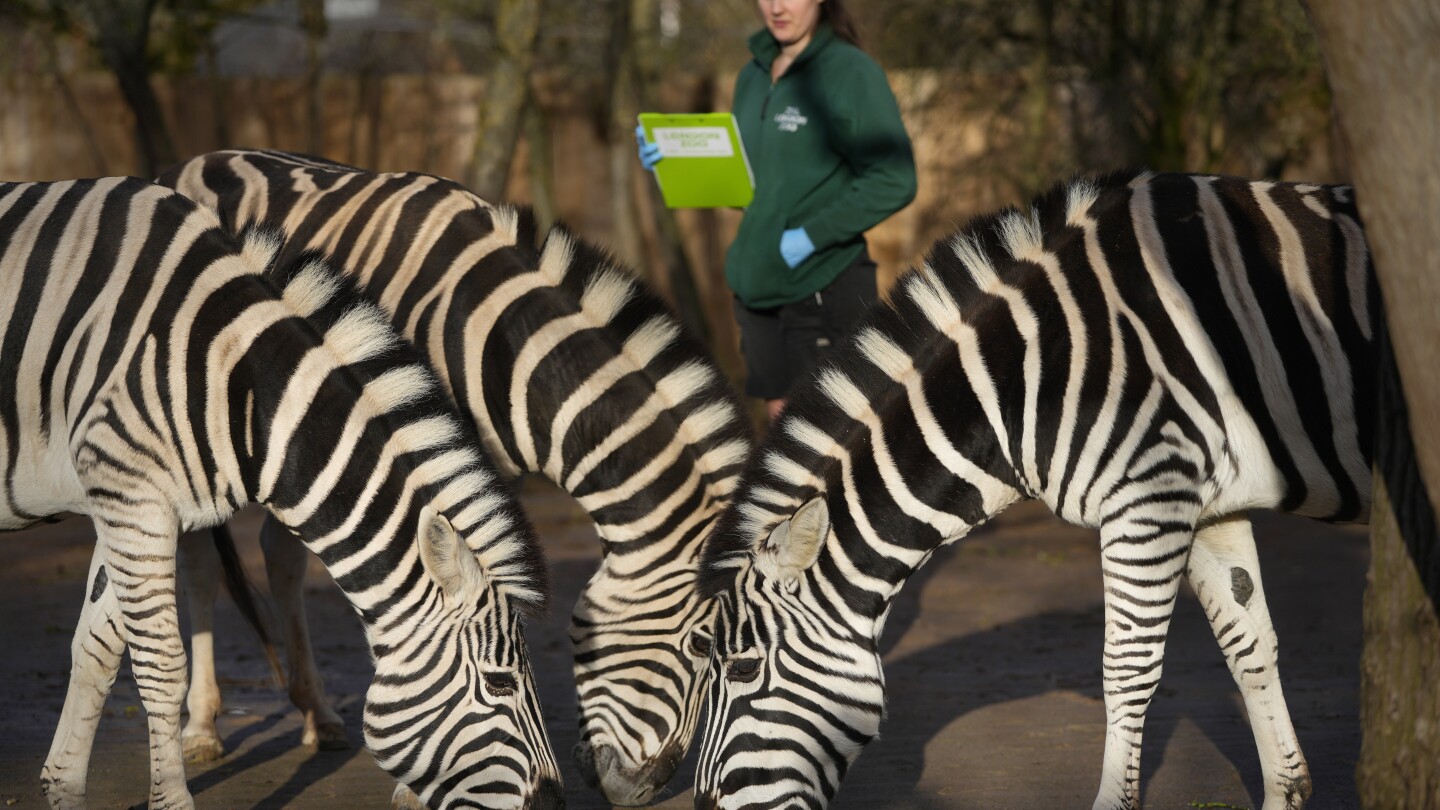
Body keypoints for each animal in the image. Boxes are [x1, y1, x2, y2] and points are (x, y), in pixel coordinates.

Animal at [0, 176, 561, 807]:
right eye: (500, 682)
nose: (555, 802)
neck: (230, 378)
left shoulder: (125, 503)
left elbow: (97, 649)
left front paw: (63, 786)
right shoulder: (131, 495)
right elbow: (161, 664)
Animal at [157, 146, 754, 801]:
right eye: (701, 644)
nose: (638, 791)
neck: (499, 347)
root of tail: (200, 158)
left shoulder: (484, 475)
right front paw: (419, 781)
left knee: (282, 554)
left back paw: (319, 714)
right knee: (201, 566)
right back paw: (203, 726)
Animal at [694, 170, 1370, 807]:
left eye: (743, 668)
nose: (702, 806)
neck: (1026, 380)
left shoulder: (1149, 495)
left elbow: (1127, 669)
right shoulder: (1205, 503)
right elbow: (1248, 644)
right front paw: (1285, 792)